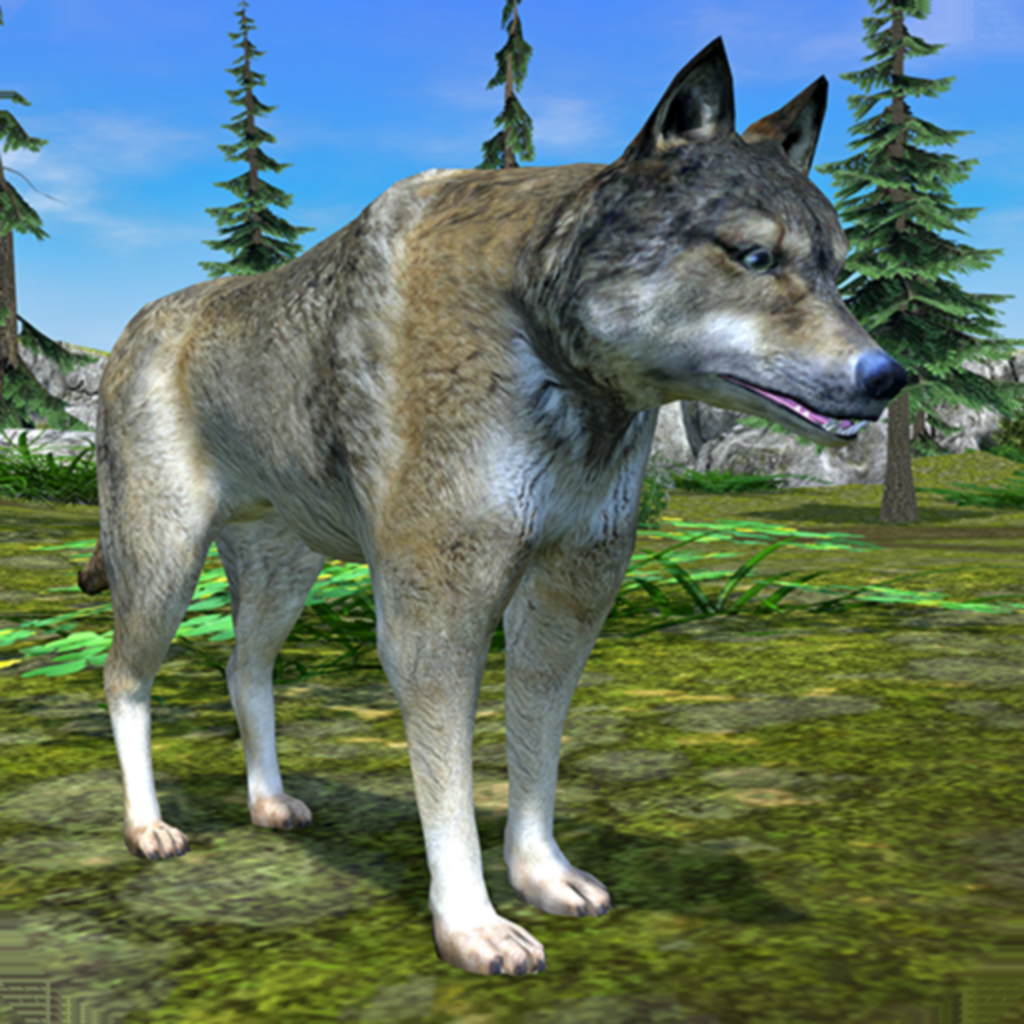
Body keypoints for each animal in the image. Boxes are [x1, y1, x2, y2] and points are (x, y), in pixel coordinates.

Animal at [77, 37, 904, 976]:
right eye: (753, 257)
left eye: (836, 269)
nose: (889, 378)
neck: (543, 338)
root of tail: (131, 332)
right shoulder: (435, 614)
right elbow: (451, 788)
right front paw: (471, 925)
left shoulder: (570, 597)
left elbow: (536, 748)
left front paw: (542, 875)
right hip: (163, 563)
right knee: (124, 677)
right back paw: (147, 827)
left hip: (283, 572)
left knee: (242, 669)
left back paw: (268, 802)